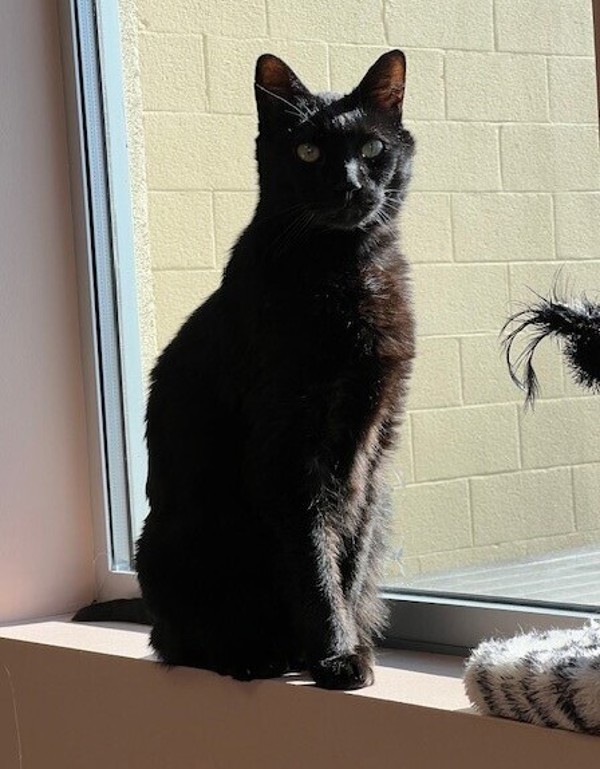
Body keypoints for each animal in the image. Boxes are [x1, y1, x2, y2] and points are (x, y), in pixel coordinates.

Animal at [75, 52, 414, 688]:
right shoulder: (287, 448)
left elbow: (349, 556)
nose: (350, 184)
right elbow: (313, 558)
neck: (344, 268)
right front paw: (334, 654)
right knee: (177, 643)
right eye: (307, 151)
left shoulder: (373, 442)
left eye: (372, 148)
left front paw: (346, 646)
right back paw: (254, 656)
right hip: (181, 541)